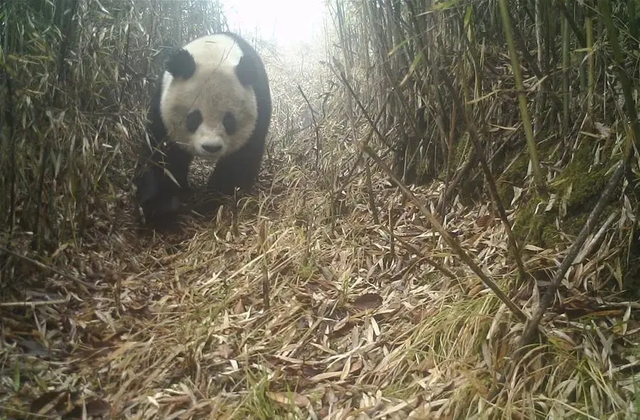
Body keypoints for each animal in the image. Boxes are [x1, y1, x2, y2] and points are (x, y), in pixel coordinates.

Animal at [135, 32, 272, 223]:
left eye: (228, 121)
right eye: (194, 118)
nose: (211, 147)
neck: (213, 52)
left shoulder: (259, 105)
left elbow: (240, 160)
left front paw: (215, 201)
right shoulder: (161, 109)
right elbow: (161, 155)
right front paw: (161, 208)